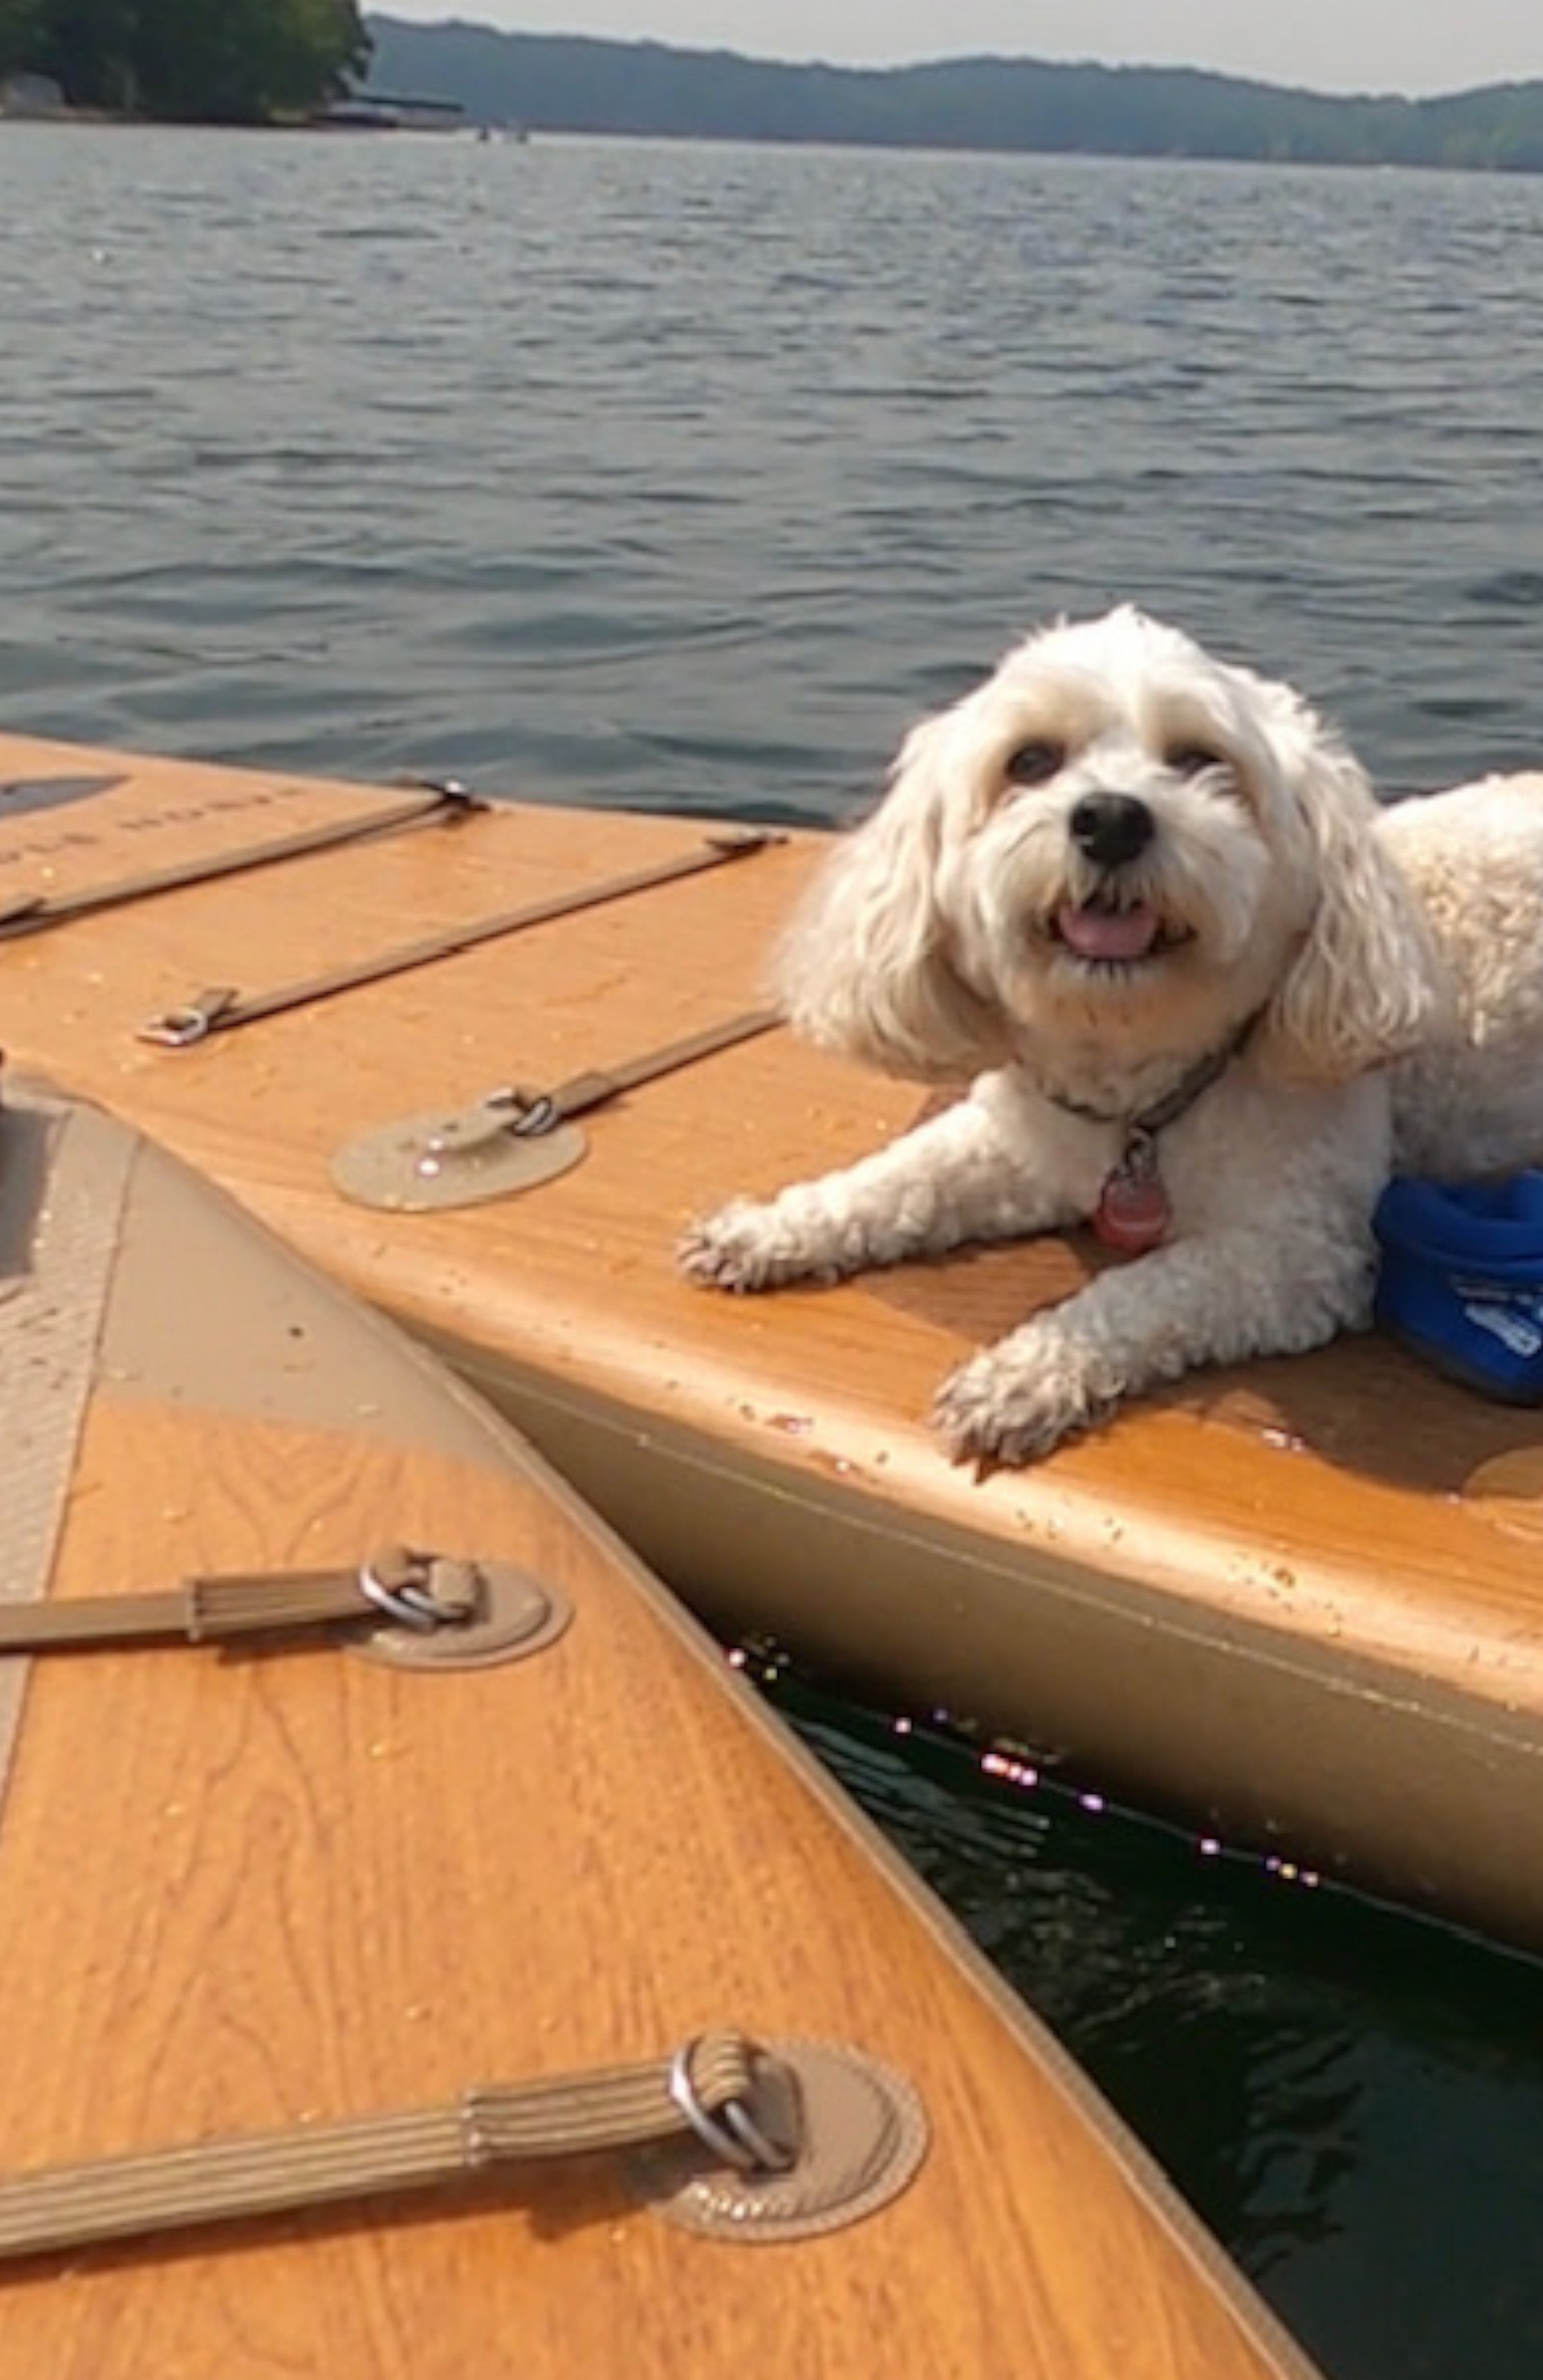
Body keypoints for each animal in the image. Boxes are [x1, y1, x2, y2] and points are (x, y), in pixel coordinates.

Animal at [681, 609, 1543, 1466]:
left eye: (1199, 759)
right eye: (1030, 760)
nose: (1112, 818)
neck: (1141, 1089)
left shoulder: (1303, 1250)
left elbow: (1145, 1290)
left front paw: (1023, 1375)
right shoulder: (1023, 1138)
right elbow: (899, 1178)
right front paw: (770, 1228)